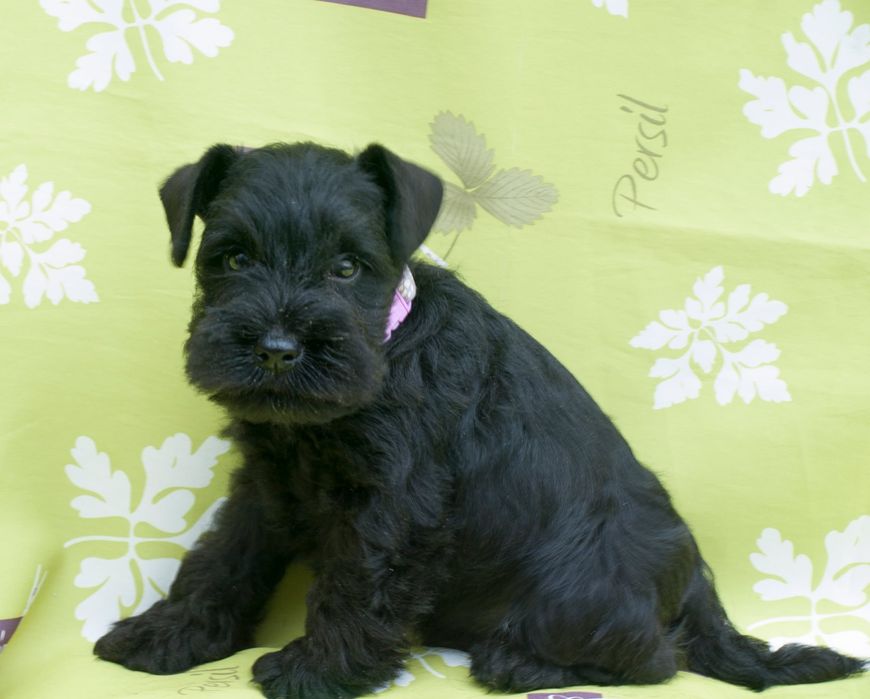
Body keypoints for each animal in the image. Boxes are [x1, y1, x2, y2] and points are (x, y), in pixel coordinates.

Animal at [93, 142, 865, 698]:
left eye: (347, 267)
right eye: (232, 257)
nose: (278, 349)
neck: (385, 348)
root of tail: (699, 582)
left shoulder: (394, 505)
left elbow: (357, 582)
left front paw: (318, 669)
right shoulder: (266, 485)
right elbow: (221, 560)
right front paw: (167, 634)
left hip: (574, 589)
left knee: (653, 657)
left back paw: (522, 664)